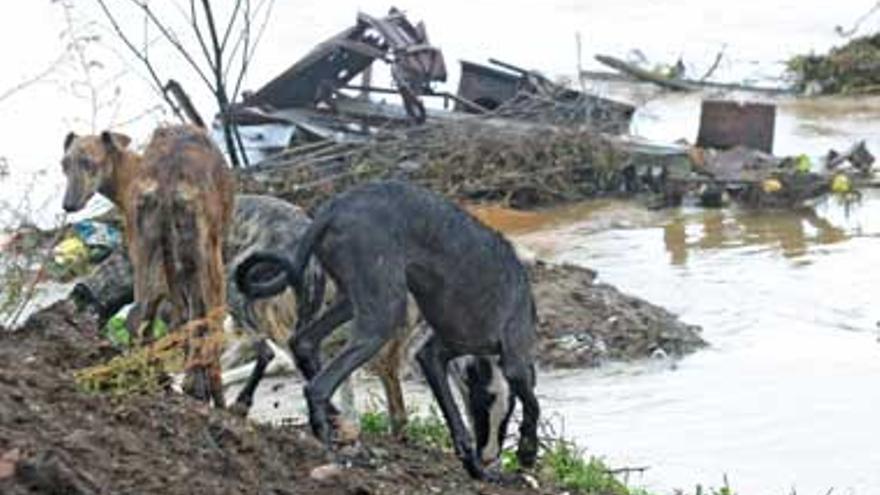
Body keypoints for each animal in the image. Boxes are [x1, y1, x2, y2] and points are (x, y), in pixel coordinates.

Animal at [234, 181, 536, 480]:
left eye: (506, 411)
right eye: (484, 403)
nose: (490, 458)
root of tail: (330, 210)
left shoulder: (432, 357)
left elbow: (456, 420)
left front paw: (474, 466)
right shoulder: (515, 359)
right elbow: (533, 405)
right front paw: (526, 453)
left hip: (352, 302)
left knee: (304, 344)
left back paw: (339, 427)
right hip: (381, 320)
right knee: (317, 387)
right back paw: (333, 447)